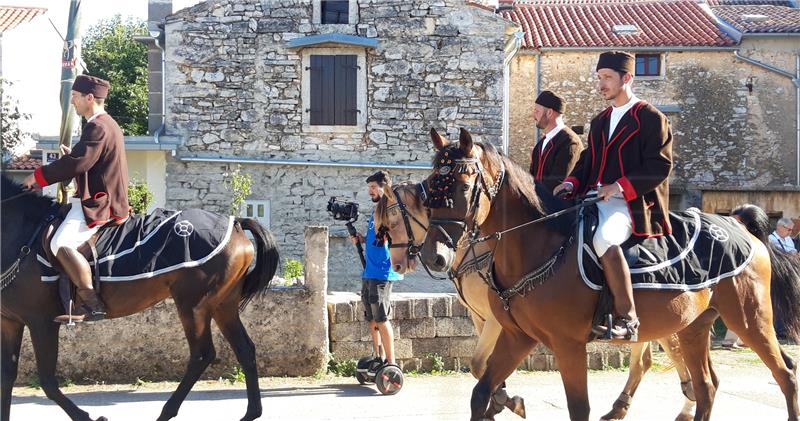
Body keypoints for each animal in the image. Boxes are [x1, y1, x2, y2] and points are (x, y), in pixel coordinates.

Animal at [0, 176, 280, 418]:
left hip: (193, 306)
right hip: (223, 306)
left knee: (202, 354)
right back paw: (251, 413)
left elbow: (48, 383)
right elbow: (7, 377)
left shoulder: (41, 322)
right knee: (245, 349)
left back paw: (166, 412)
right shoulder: (10, 323)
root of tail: (235, 224)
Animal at [376, 171, 692, 420]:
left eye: (393, 218)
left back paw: (686, 405)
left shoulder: (495, 320)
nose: (397, 265)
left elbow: (479, 363)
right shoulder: (484, 319)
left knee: (673, 352)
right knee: (645, 359)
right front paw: (501, 399)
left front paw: (505, 401)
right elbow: (481, 366)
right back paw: (621, 407)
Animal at [418, 128, 800, 420]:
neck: (538, 244)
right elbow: (481, 391)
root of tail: (737, 223)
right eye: (429, 185)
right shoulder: (517, 336)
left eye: (462, 187)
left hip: (751, 319)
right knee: (706, 386)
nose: (434, 255)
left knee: (785, 376)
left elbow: (578, 409)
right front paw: (506, 401)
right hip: (693, 326)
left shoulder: (567, 345)